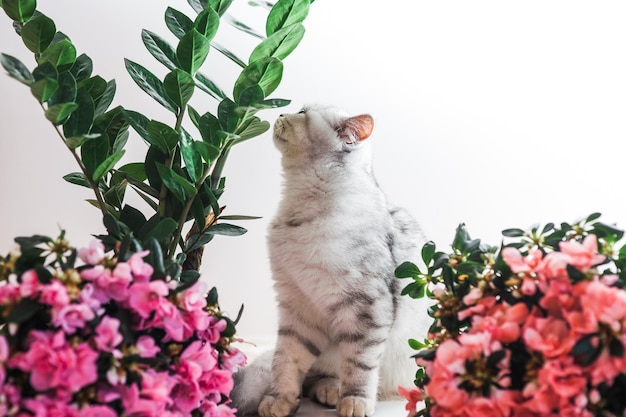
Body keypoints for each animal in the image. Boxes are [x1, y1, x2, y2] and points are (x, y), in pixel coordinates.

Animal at [232, 105, 432, 416]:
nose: (280, 114)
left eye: (302, 112)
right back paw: (327, 390)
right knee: (312, 377)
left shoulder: (366, 309)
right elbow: (285, 362)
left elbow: (359, 367)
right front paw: (278, 401)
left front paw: (354, 402)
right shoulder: (298, 309)